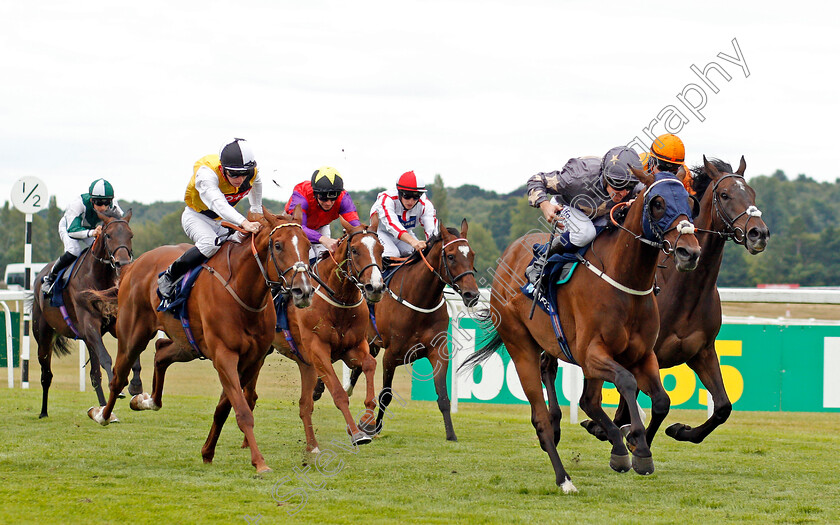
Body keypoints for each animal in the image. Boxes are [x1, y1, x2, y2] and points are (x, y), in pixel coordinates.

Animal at [31, 209, 141, 418]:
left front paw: (136, 385)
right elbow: (107, 358)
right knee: (46, 375)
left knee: (94, 375)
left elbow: (132, 352)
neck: (98, 276)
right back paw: (43, 412)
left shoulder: (113, 323)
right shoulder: (90, 324)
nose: (122, 263)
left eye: (131, 235)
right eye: (108, 235)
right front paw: (119, 387)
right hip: (44, 337)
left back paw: (104, 410)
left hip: (86, 339)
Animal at [87, 206, 314, 470]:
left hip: (187, 345)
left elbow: (225, 408)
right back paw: (102, 415)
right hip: (132, 336)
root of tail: (131, 267)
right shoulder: (224, 355)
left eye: (308, 244)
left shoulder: (252, 360)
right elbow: (243, 412)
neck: (242, 292)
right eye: (278, 245)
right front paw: (260, 463)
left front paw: (208, 451)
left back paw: (146, 401)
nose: (303, 290)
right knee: (118, 378)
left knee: (161, 352)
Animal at [462, 169, 700, 492]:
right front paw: (636, 442)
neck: (624, 280)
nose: (690, 252)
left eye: (690, 201)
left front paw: (634, 448)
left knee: (578, 393)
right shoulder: (591, 354)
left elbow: (662, 401)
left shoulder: (642, 355)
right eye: (658, 203)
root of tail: (508, 255)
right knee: (542, 416)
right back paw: (564, 479)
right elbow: (626, 382)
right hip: (520, 345)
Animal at [576, 155, 772, 442]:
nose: (759, 233)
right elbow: (632, 407)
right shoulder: (642, 354)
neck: (686, 289)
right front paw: (619, 432)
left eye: (752, 193)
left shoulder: (702, 351)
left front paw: (681, 430)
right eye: (725, 195)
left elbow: (723, 406)